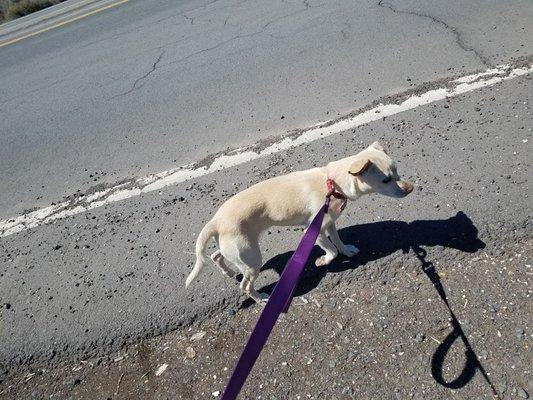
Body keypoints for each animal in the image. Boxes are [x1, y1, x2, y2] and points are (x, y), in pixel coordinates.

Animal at [185, 142, 414, 302]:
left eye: (397, 171)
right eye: (386, 180)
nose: (411, 188)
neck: (333, 182)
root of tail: (215, 221)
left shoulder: (330, 223)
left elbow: (338, 241)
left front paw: (347, 250)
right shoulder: (314, 231)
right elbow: (331, 250)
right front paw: (324, 261)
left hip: (237, 250)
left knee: (216, 255)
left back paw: (229, 271)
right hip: (251, 258)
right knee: (245, 285)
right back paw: (260, 299)